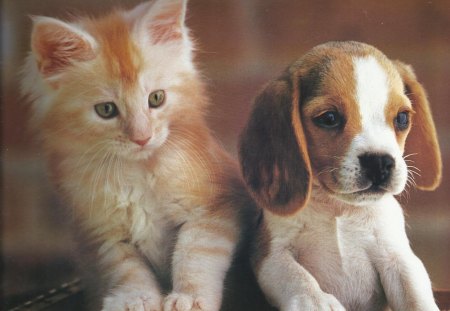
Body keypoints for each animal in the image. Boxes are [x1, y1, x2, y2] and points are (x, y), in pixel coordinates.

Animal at [21, 0, 246, 311]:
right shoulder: (103, 235)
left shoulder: (213, 207)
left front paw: (189, 297)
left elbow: (195, 255)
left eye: (156, 98)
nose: (142, 138)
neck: (137, 170)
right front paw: (136, 299)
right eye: (106, 110)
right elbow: (128, 270)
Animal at [241, 41, 442, 311]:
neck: (339, 209)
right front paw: (315, 302)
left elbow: (415, 295)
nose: (380, 162)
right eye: (329, 118)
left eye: (402, 118)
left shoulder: (398, 258)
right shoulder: (271, 252)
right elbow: (297, 276)